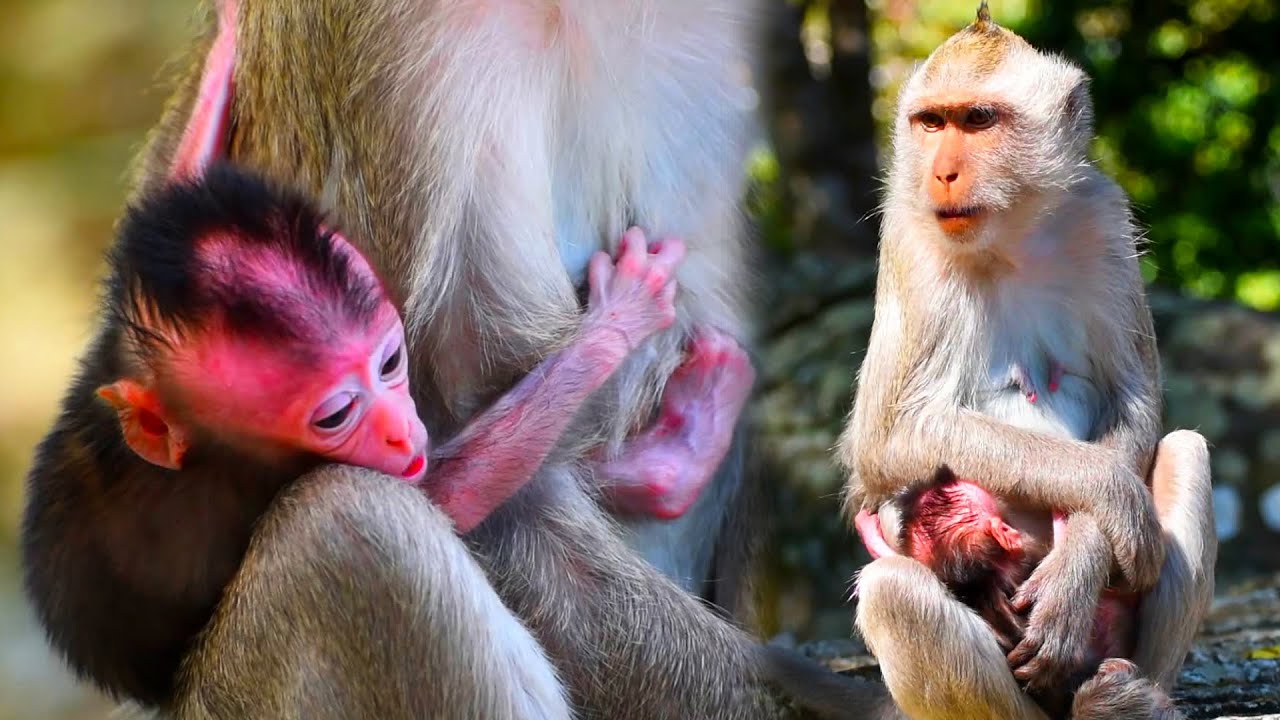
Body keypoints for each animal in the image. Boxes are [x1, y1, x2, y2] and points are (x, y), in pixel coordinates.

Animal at [837, 4, 1216, 719]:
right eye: (932, 123)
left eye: (978, 119)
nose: (941, 173)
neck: (1007, 235)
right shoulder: (910, 241)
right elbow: (885, 442)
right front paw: (1109, 493)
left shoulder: (1102, 215)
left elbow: (1131, 400)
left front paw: (1078, 564)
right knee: (892, 591)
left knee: (1186, 447)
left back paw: (1129, 696)